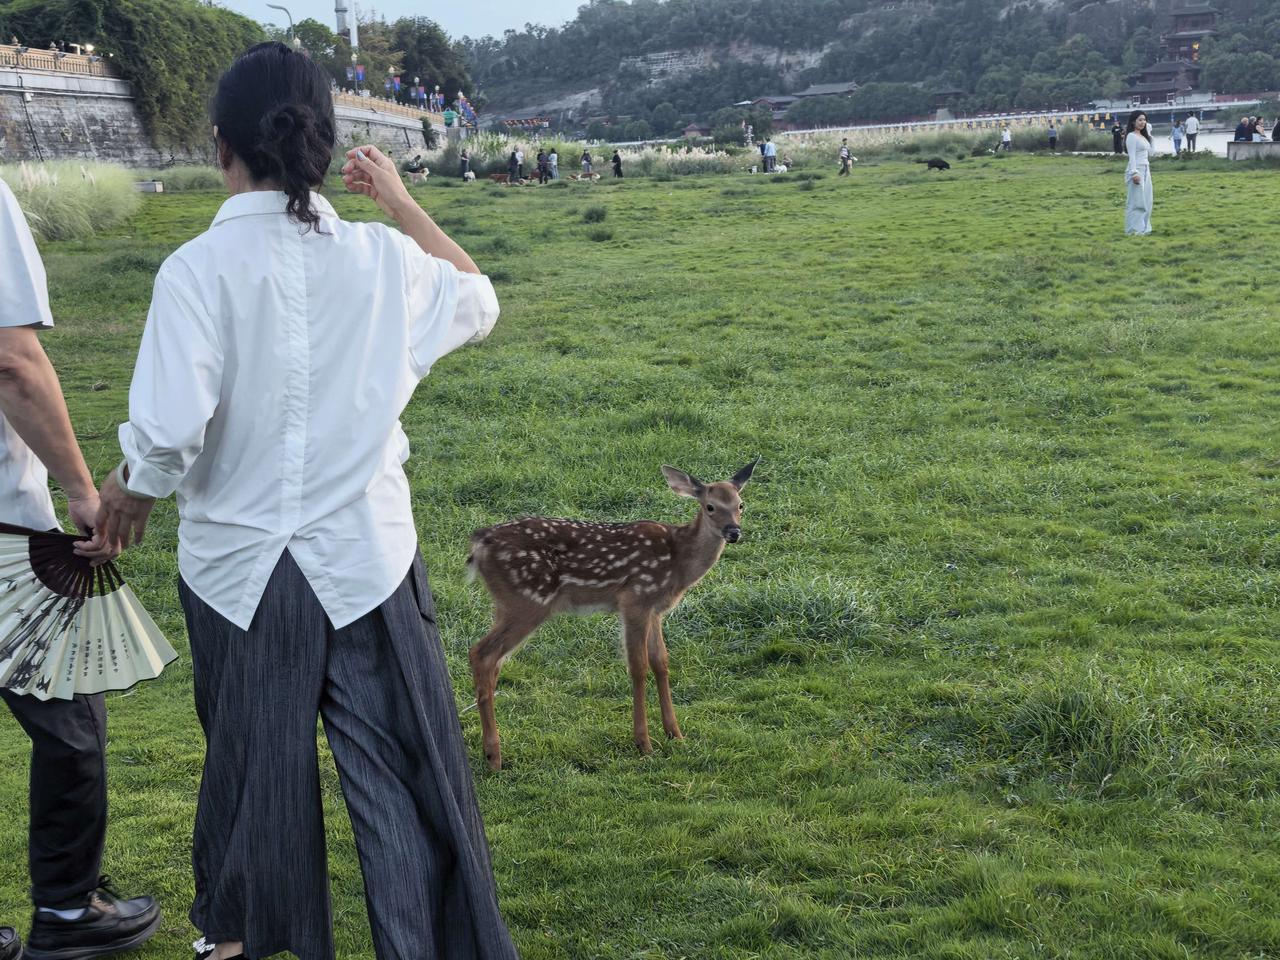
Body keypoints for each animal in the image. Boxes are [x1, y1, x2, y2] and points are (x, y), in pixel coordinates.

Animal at [465, 460, 757, 770]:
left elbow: (661, 663)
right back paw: (494, 756)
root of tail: (480, 543)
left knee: (493, 661)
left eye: (741, 504)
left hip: (506, 604)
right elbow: (638, 666)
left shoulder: (655, 610)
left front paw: (675, 734)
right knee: (481, 653)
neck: (678, 563)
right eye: (710, 506)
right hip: (527, 600)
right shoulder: (635, 599)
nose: (733, 531)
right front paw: (644, 744)